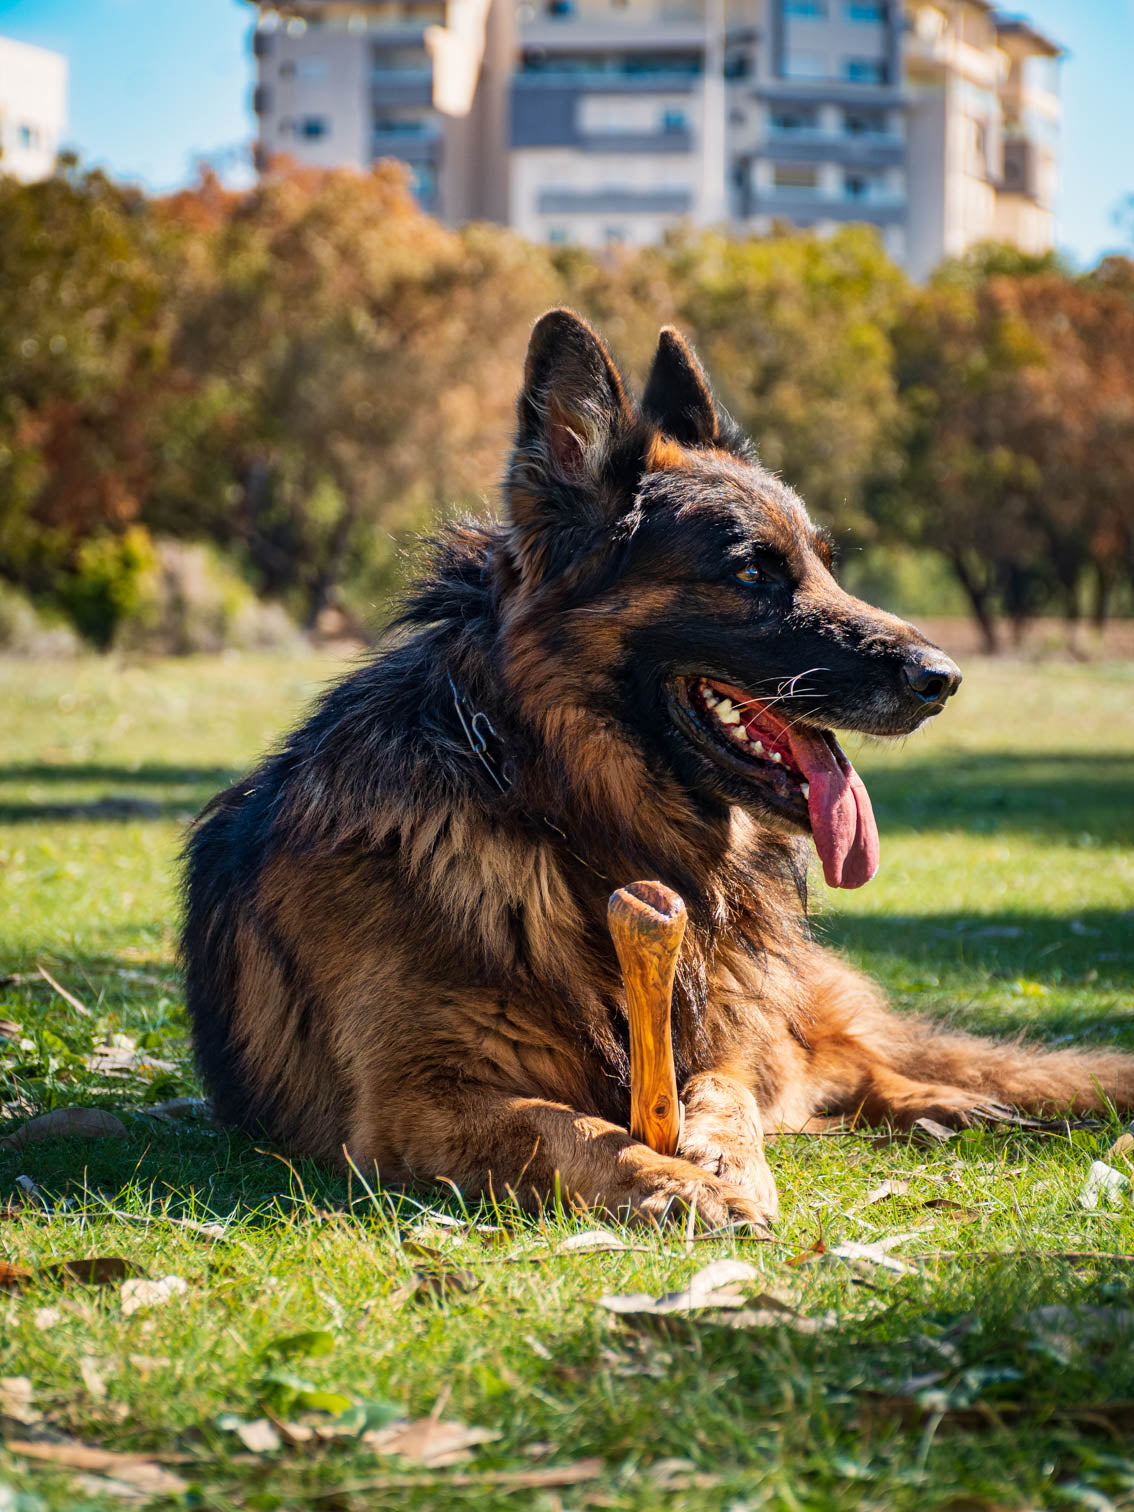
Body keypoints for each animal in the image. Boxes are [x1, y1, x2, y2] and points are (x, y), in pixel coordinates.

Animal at [184, 309, 1134, 1227]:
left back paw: (946, 1105)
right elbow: (568, 1127)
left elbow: (721, 1090)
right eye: (752, 570)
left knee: (846, 1069)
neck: (558, 804)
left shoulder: (720, 1036)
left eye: (825, 563)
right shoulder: (417, 1102)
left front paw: (725, 1162)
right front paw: (676, 1181)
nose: (942, 679)